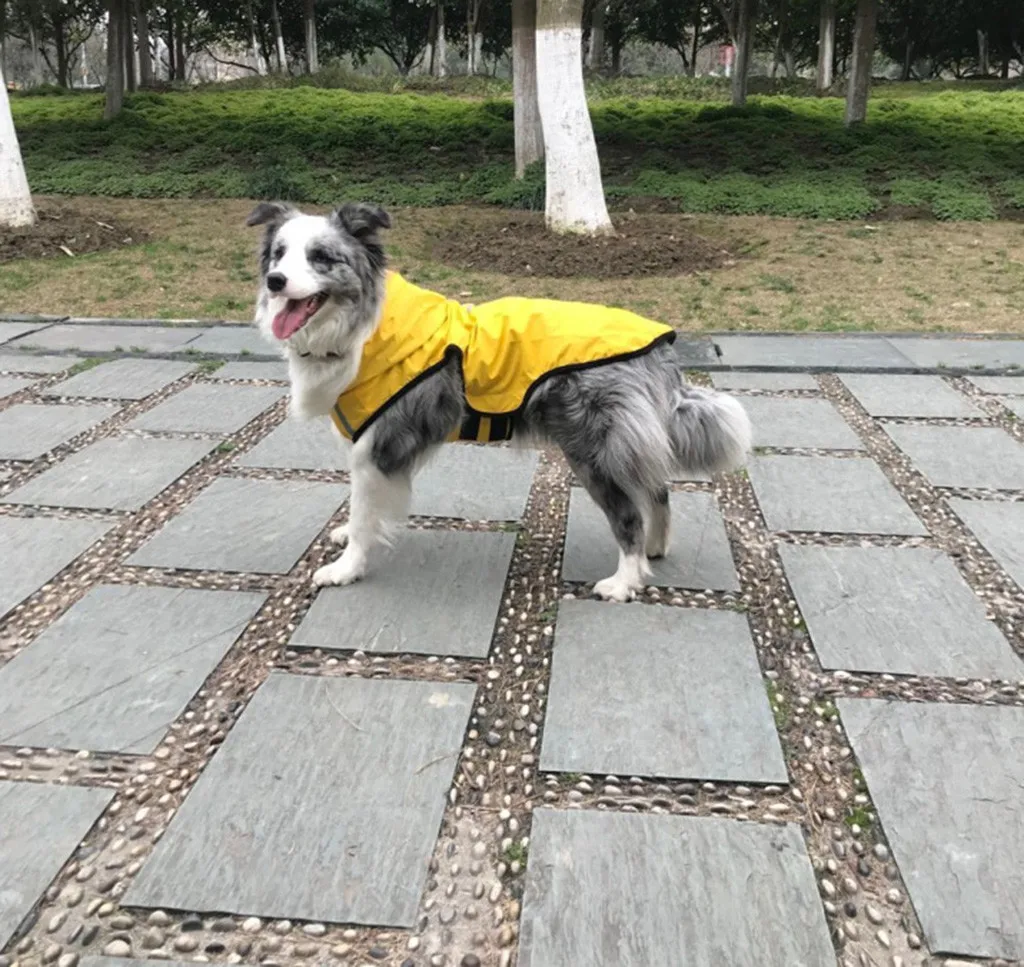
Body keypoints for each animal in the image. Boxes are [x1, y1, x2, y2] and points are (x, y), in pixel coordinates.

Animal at [243, 199, 749, 602]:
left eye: (321, 258)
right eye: (279, 253)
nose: (274, 281)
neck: (363, 326)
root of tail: (658, 347)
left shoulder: (377, 449)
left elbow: (367, 514)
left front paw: (346, 568)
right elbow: (356, 507)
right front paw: (347, 535)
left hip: (594, 450)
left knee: (629, 514)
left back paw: (624, 581)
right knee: (658, 488)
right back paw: (655, 550)